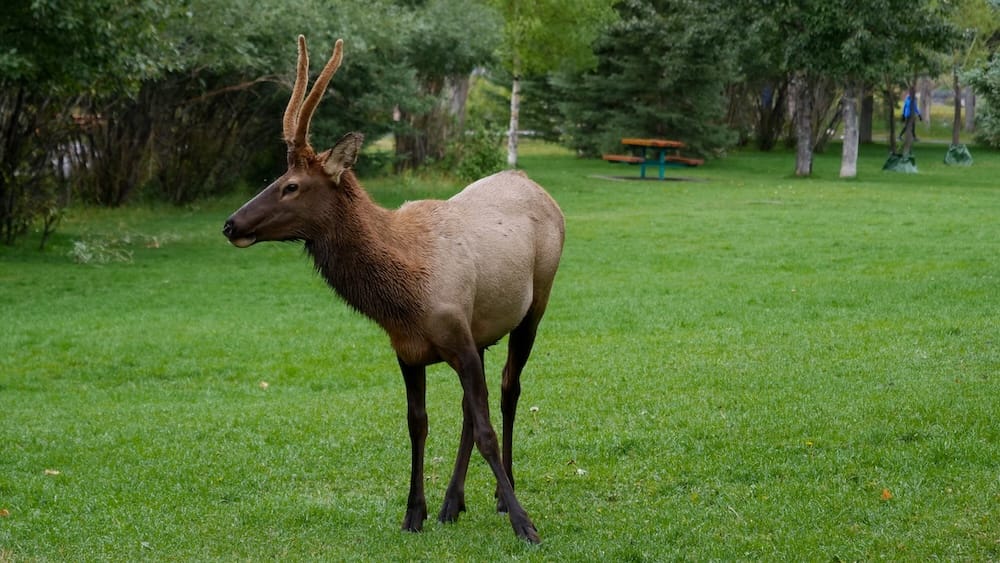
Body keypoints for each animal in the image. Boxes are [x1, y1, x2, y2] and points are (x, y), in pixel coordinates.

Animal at [222, 36, 564, 544]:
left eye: (291, 186)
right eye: (276, 180)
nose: (231, 224)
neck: (403, 299)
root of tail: (531, 182)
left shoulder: (459, 338)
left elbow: (485, 429)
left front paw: (525, 524)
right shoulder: (410, 349)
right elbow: (418, 424)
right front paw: (414, 514)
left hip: (534, 305)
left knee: (508, 389)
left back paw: (502, 496)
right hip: (482, 328)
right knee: (471, 407)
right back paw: (452, 503)